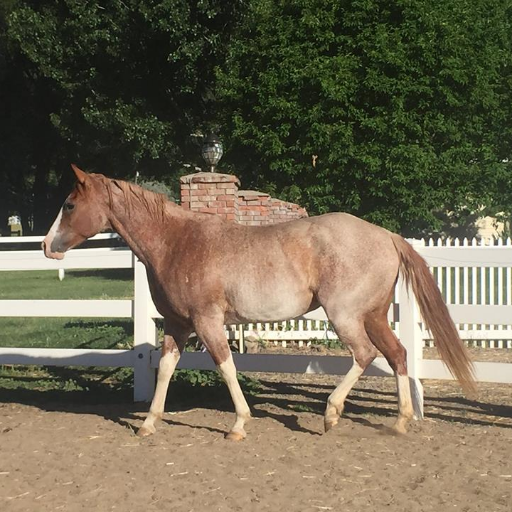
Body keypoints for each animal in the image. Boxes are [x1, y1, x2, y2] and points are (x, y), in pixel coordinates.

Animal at [43, 165, 476, 440]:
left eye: (69, 204)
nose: (47, 246)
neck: (175, 242)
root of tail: (386, 235)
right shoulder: (178, 324)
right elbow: (165, 368)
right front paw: (149, 423)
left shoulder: (206, 321)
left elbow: (226, 366)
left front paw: (239, 424)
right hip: (374, 316)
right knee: (398, 354)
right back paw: (400, 423)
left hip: (346, 316)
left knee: (365, 355)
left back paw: (331, 414)